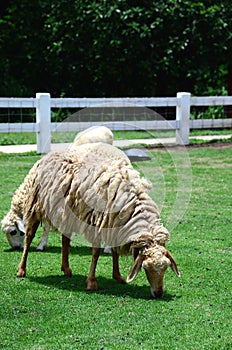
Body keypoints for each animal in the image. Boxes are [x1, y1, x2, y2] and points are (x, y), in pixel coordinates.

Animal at [16, 142, 179, 298]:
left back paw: (66, 269)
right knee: (29, 238)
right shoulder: (96, 222)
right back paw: (21, 270)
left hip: (68, 213)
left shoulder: (113, 224)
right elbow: (95, 253)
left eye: (166, 267)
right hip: (35, 206)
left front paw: (118, 276)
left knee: (65, 239)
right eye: (145, 267)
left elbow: (114, 251)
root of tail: (49, 155)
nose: (158, 294)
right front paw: (91, 282)